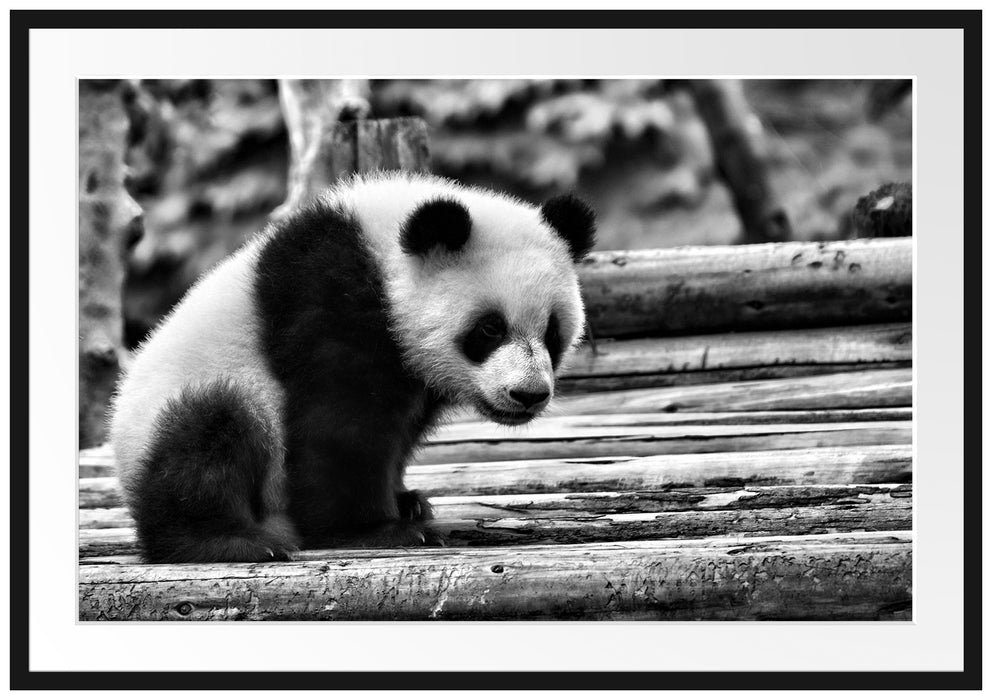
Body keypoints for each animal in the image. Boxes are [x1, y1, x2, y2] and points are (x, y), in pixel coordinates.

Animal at [110, 171, 596, 563]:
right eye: (490, 329)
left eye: (552, 333)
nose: (528, 394)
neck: (382, 252)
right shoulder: (330, 301)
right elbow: (342, 425)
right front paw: (378, 529)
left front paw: (406, 501)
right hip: (188, 404)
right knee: (210, 434)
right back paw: (228, 540)